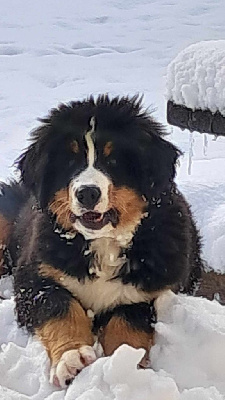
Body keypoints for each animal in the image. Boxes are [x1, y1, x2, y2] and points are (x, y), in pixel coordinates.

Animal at [0, 94, 202, 388]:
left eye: (114, 160)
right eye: (70, 162)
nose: (87, 193)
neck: (104, 244)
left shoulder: (150, 292)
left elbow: (127, 324)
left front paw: (125, 370)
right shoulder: (35, 277)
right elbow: (61, 309)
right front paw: (72, 359)